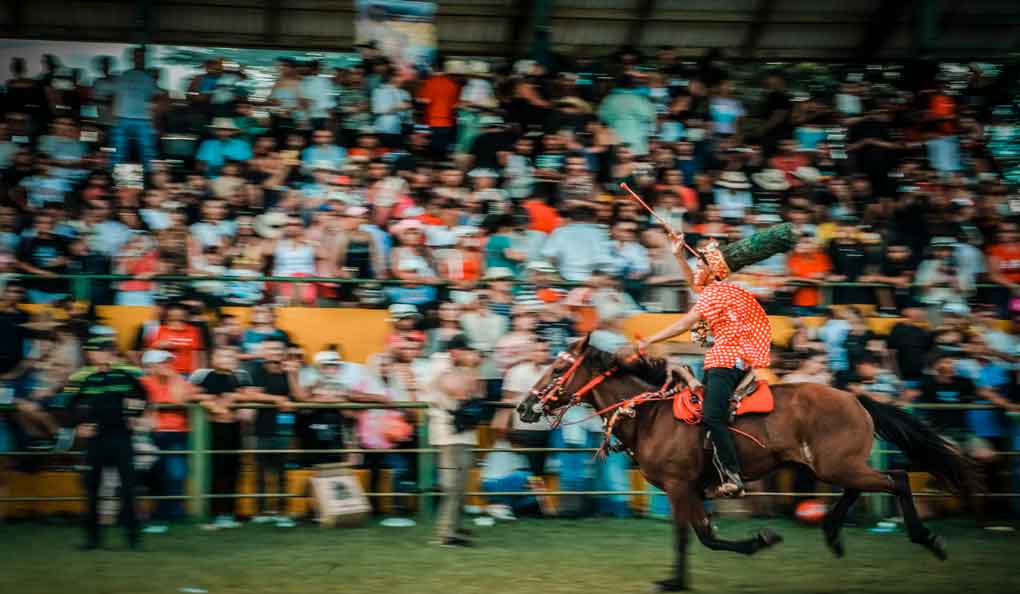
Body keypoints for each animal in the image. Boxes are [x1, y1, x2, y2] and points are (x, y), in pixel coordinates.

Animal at [518, 336, 979, 591]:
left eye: (558, 368)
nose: (524, 406)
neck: (650, 415)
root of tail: (856, 397)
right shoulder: (688, 490)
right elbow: (700, 537)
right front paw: (755, 542)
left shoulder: (679, 486)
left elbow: (695, 537)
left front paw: (680, 579)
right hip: (831, 465)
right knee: (868, 484)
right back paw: (832, 533)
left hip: (838, 465)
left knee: (896, 477)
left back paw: (926, 538)